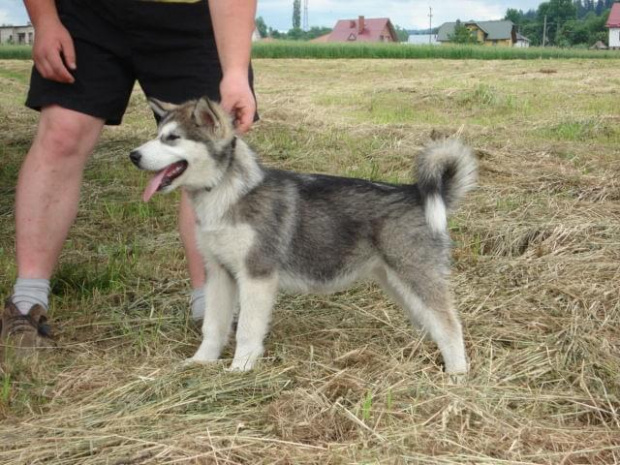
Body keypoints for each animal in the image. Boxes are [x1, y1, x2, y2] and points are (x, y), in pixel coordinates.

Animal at [130, 98, 480, 374]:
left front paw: (240, 368)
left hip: (415, 274)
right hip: (396, 281)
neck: (227, 193)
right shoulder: (219, 274)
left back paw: (457, 374)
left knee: (450, 324)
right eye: (158, 135)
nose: (133, 155)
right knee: (429, 320)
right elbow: (213, 326)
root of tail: (416, 193)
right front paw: (201, 362)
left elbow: (247, 330)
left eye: (173, 138)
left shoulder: (256, 276)